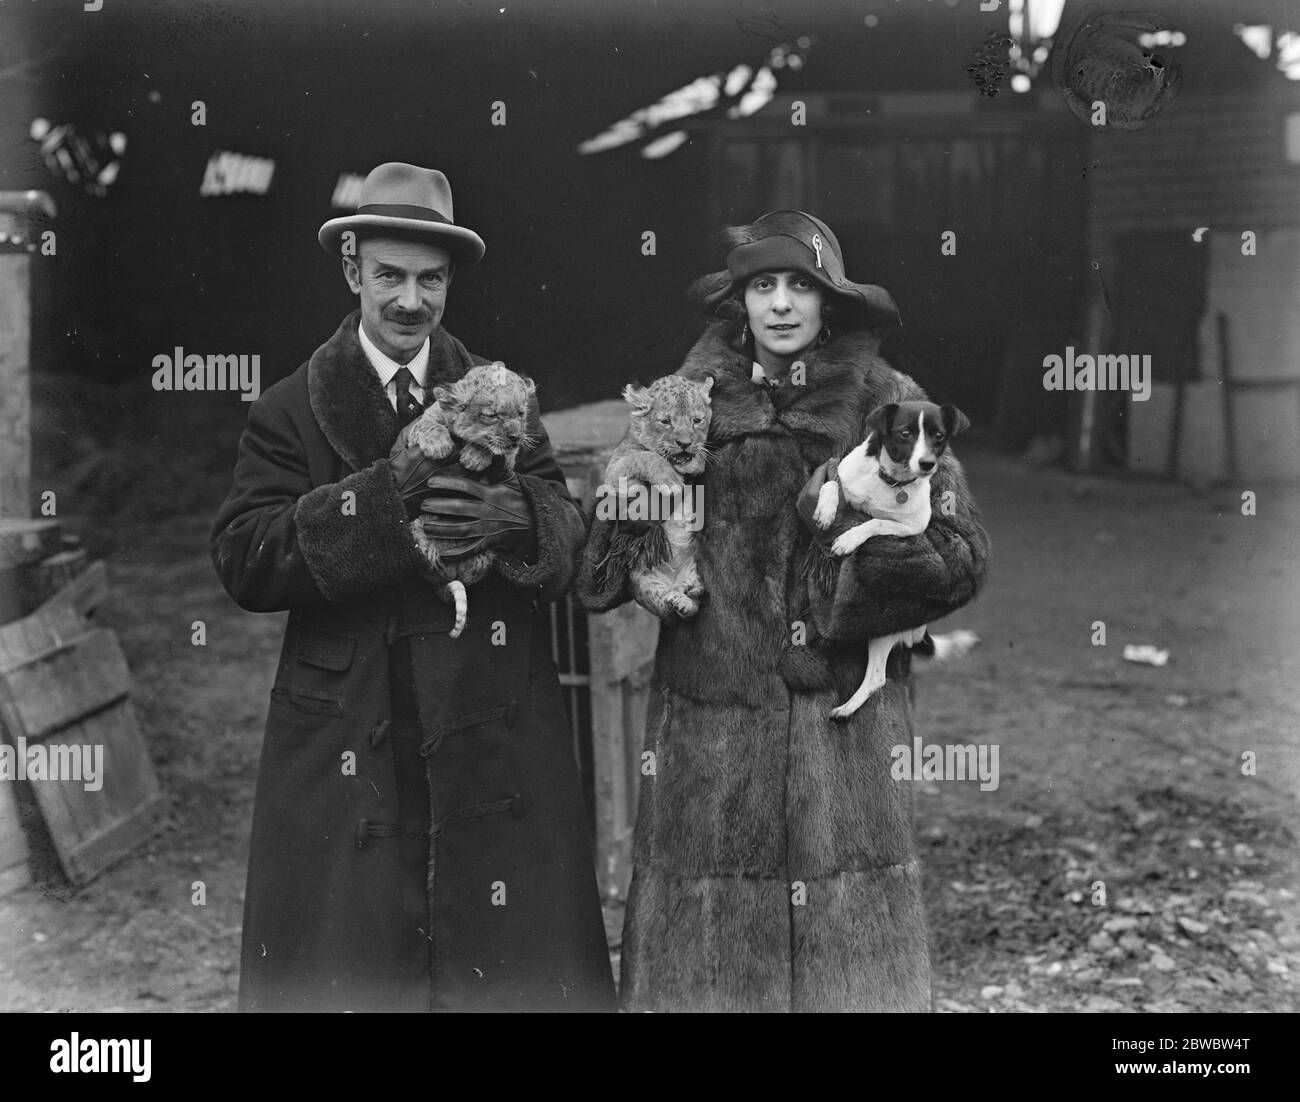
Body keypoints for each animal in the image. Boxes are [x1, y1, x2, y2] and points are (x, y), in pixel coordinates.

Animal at [811, 400, 977, 717]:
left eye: (939, 436)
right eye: (905, 433)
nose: (927, 464)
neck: (890, 482)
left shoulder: (912, 528)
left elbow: (875, 522)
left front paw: (848, 539)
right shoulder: (838, 472)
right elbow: (831, 484)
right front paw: (826, 510)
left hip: (884, 627)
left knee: (877, 678)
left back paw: (846, 709)